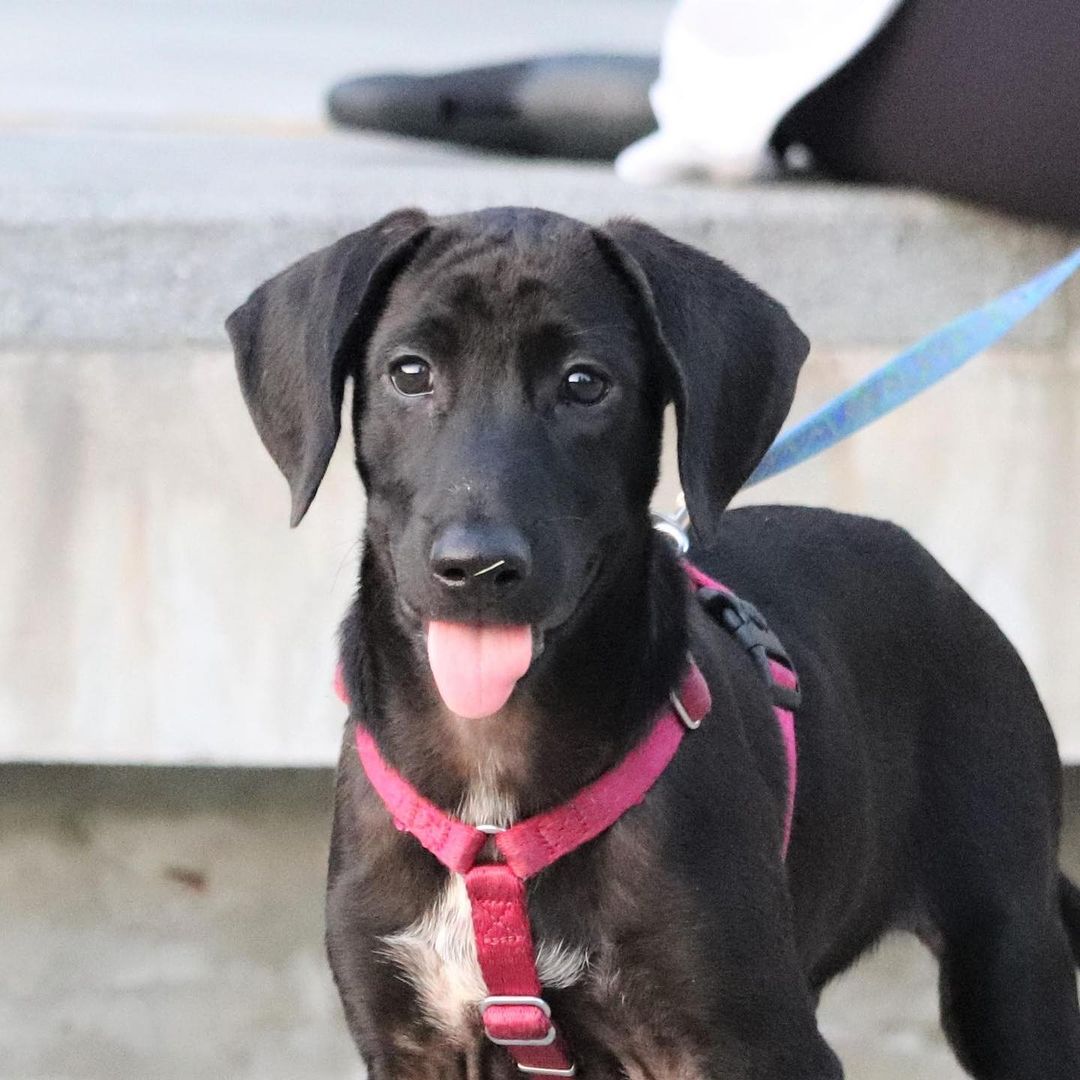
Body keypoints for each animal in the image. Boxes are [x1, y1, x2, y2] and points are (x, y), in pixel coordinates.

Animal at [227, 206, 1080, 1075]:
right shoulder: (412, 1044)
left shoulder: (759, 1042)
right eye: (409, 373)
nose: (476, 566)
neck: (491, 776)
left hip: (1007, 955)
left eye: (584, 384)